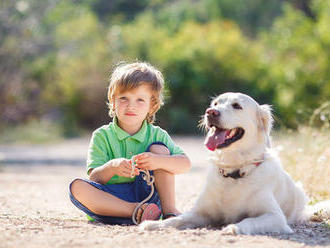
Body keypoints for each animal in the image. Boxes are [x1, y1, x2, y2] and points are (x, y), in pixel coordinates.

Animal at [139, 92, 328, 234]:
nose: (211, 112)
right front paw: (154, 224)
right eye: (215, 104)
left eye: (237, 106)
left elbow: (249, 220)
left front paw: (233, 227)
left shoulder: (275, 216)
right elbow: (178, 219)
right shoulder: (200, 212)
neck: (234, 170)